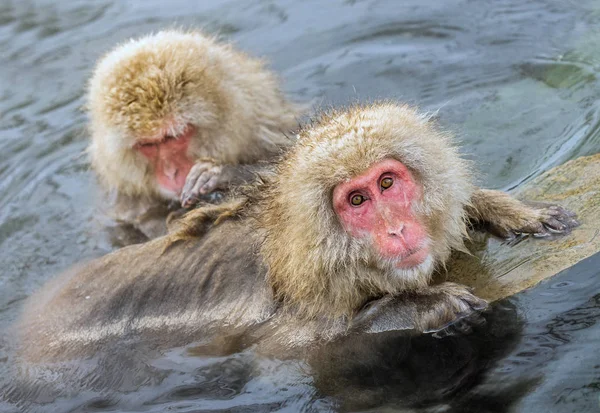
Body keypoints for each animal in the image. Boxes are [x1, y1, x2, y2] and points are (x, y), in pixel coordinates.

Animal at [17, 102, 576, 370]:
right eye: (357, 201)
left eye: (387, 183)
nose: (398, 228)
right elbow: (289, 349)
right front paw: (419, 308)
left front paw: (509, 209)